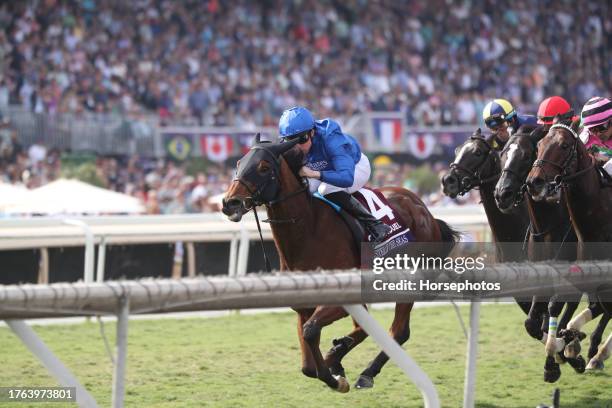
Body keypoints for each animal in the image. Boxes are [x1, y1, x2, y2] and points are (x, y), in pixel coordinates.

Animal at [222, 136, 456, 392]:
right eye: (238, 163)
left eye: (264, 167)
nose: (230, 202)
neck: (309, 230)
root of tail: (423, 209)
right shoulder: (304, 305)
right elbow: (308, 364)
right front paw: (335, 362)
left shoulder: (342, 298)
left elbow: (312, 332)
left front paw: (335, 373)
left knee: (399, 331)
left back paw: (366, 372)